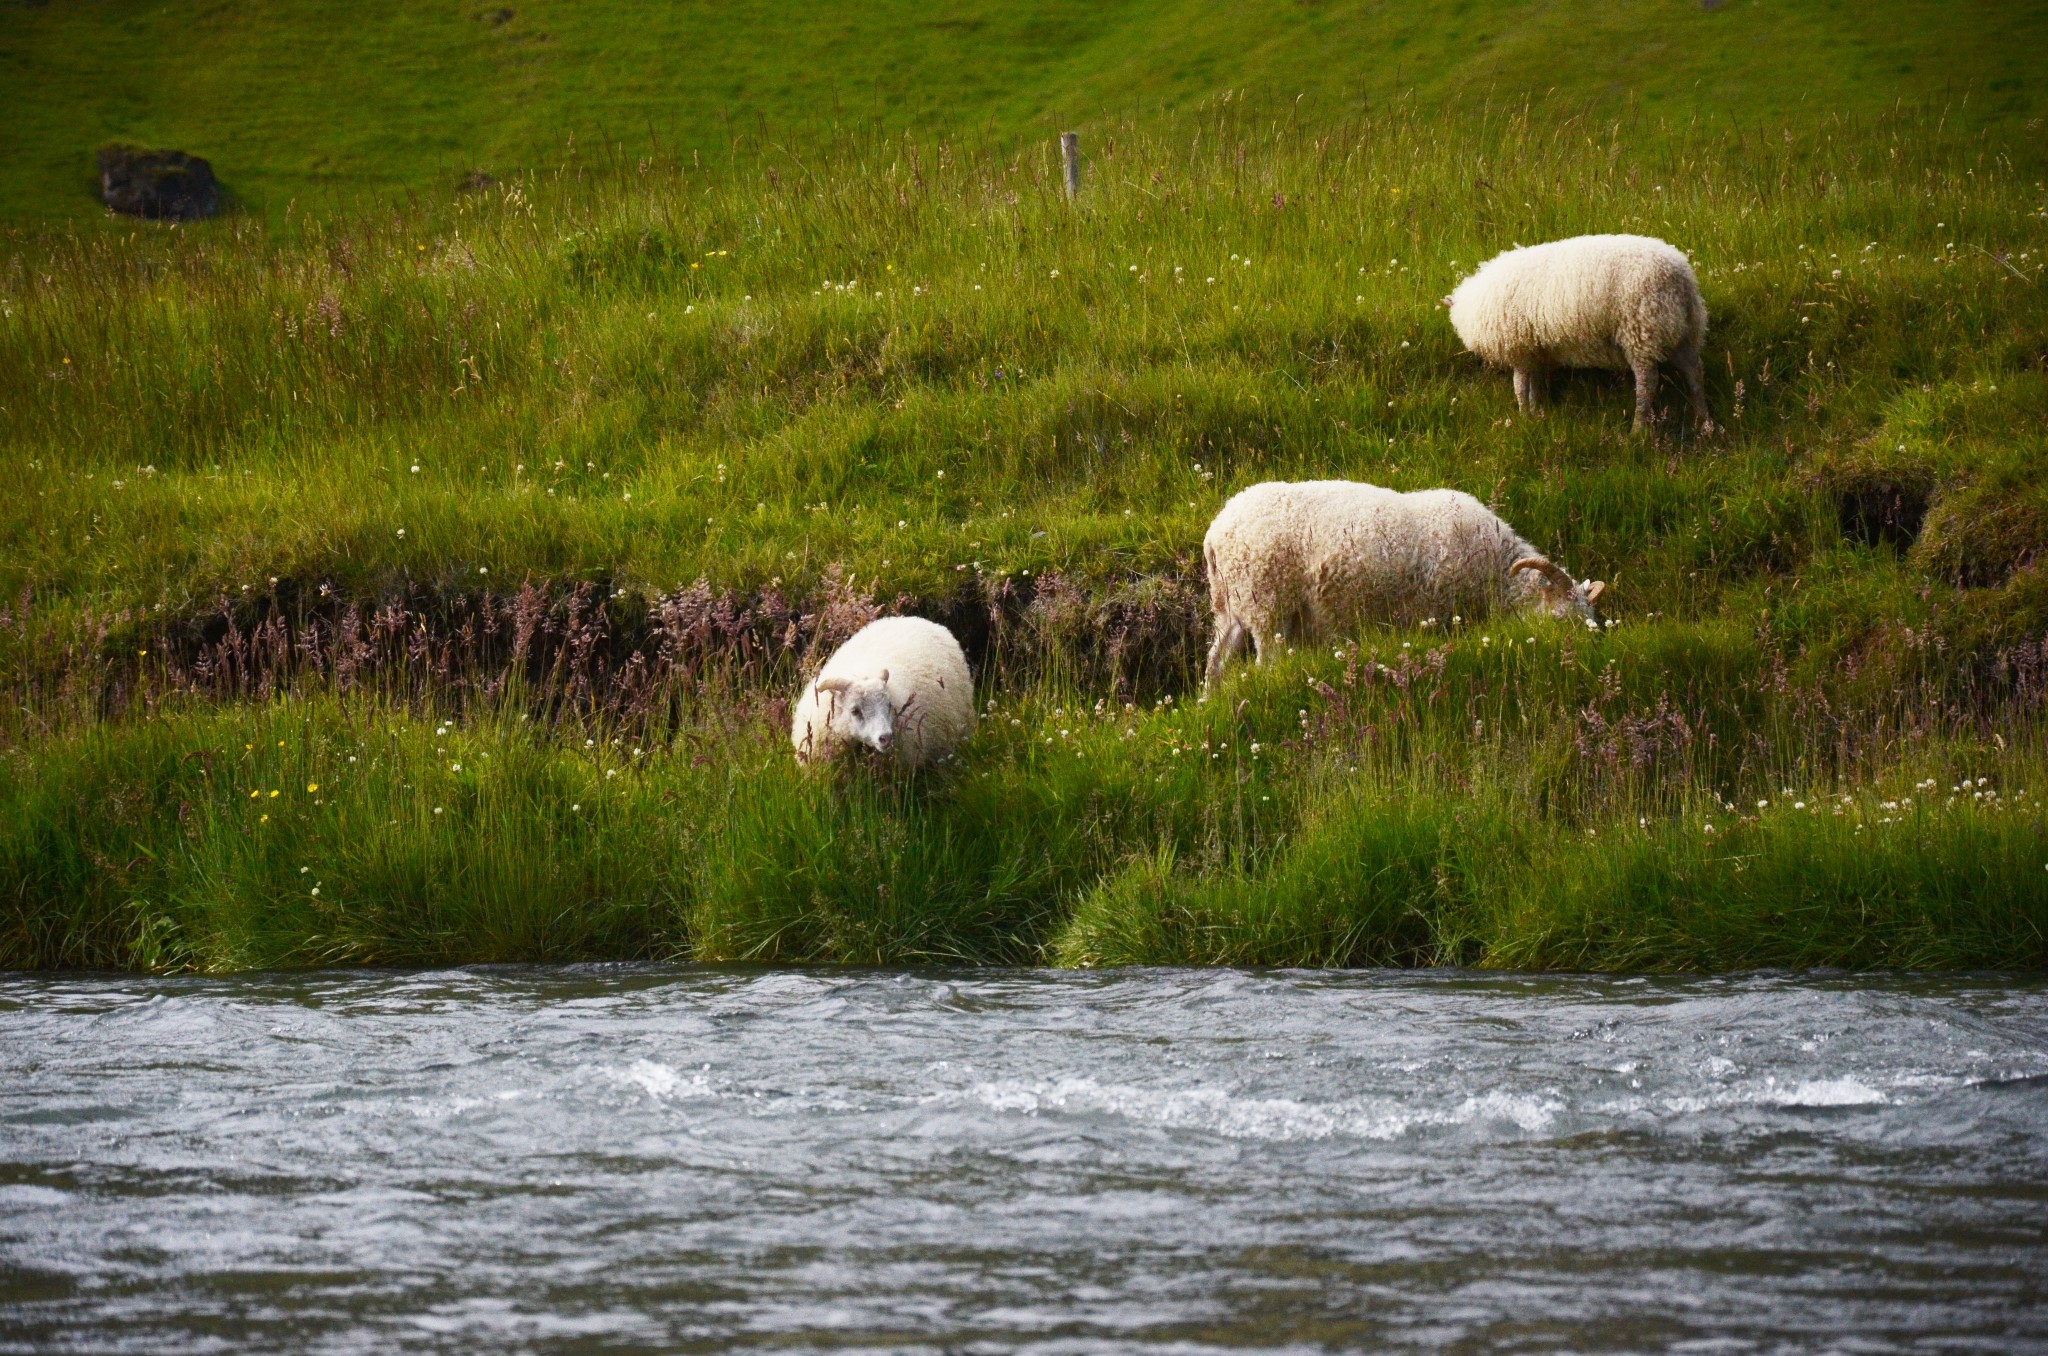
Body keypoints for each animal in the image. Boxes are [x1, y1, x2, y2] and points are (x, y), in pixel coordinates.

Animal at [1196, 481, 1597, 696]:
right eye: (1560, 618)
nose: (1575, 660)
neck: (1497, 570)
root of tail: (1216, 533)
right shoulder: (1437, 608)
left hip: (1230, 606)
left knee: (1216, 661)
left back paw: (1210, 702)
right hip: (1267, 603)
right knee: (1266, 662)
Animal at [1449, 233, 1720, 432]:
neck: (1472, 303)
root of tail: (1681, 277)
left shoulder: (1520, 347)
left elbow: (1520, 385)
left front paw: (1524, 416)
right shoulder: (1536, 349)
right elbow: (1535, 383)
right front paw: (1537, 413)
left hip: (1641, 331)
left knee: (1648, 382)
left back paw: (1637, 430)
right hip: (1684, 333)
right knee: (1694, 373)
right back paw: (1704, 422)